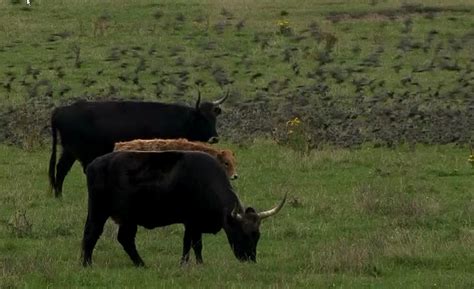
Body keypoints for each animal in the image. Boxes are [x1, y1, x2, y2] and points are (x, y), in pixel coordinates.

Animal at [49, 91, 227, 197]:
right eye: (202, 118)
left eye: (214, 118)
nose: (215, 138)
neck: (181, 119)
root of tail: (61, 110)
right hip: (76, 151)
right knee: (65, 169)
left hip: (69, 151)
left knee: (61, 168)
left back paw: (58, 196)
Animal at [81, 150, 286, 266]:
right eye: (242, 233)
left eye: (257, 235)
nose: (250, 259)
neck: (203, 181)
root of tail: (94, 164)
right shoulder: (191, 221)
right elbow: (192, 243)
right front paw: (189, 264)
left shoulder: (194, 223)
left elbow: (194, 245)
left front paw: (196, 263)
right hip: (105, 212)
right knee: (97, 234)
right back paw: (88, 264)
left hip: (118, 217)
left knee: (118, 239)